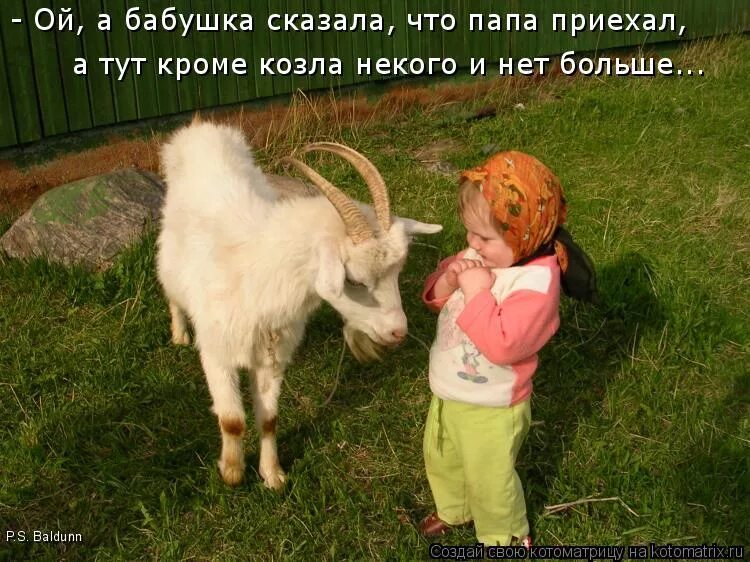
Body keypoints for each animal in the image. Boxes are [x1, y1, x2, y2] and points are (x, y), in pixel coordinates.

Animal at [156, 120, 442, 488]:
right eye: (354, 280)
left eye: (397, 271)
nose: (398, 332)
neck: (256, 269)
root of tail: (201, 127)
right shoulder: (218, 352)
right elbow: (232, 420)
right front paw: (232, 473)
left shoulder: (271, 354)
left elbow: (269, 419)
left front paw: (273, 475)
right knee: (171, 290)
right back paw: (179, 333)